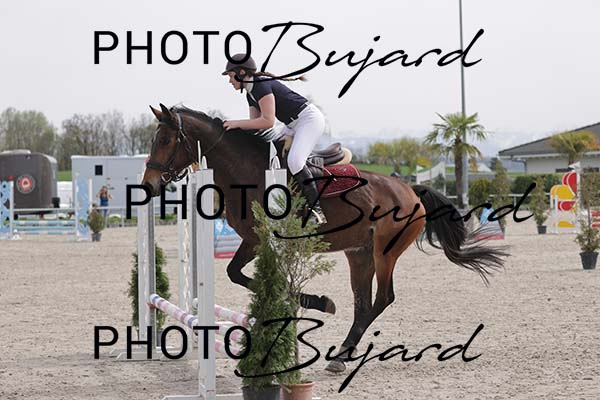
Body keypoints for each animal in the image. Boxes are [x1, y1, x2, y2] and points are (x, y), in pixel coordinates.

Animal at [142, 103, 507, 373]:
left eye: (165, 141)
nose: (148, 185)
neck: (244, 171)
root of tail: (410, 190)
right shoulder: (251, 240)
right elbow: (236, 273)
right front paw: (312, 302)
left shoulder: (263, 241)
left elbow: (252, 278)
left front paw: (313, 302)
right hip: (359, 253)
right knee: (363, 302)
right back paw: (343, 354)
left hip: (385, 251)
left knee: (382, 298)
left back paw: (343, 352)